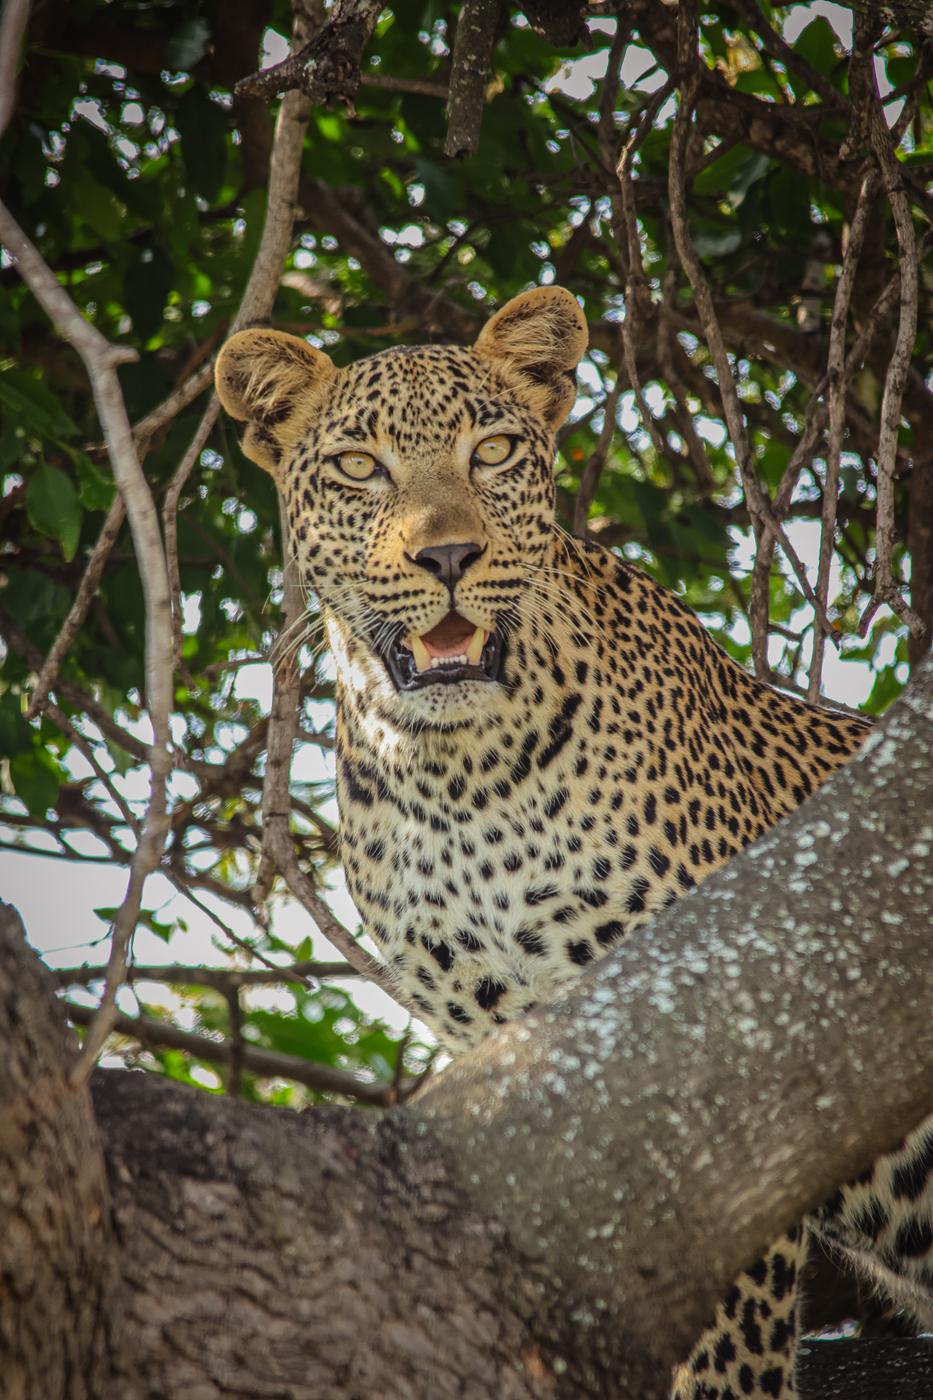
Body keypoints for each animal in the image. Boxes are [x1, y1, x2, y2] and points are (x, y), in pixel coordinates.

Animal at [216, 285, 933, 1399]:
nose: (449, 558)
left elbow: (722, 1365)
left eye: (495, 450)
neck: (455, 774)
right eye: (358, 466)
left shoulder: (717, 1098)